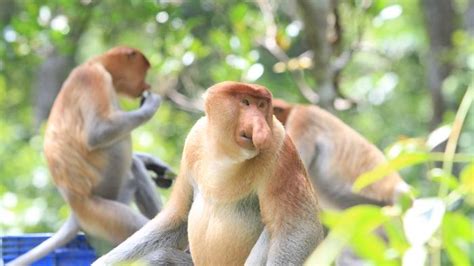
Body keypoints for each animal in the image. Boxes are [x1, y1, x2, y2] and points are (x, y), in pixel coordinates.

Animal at [6, 46, 174, 264]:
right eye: (144, 71)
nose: (147, 85)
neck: (97, 64)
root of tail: (75, 210)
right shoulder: (93, 78)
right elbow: (98, 132)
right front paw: (151, 103)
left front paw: (153, 163)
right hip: (103, 214)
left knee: (134, 168)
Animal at [92, 81, 324, 266]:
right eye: (245, 102)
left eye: (261, 106)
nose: (260, 127)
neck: (226, 155)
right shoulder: (194, 140)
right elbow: (178, 216)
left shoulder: (280, 149)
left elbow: (298, 229)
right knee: (159, 257)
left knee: (273, 230)